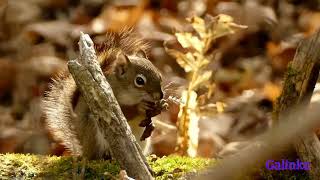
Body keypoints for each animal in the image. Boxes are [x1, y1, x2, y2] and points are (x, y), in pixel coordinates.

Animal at [41, 29, 164, 160]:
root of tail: (85, 149)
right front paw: (140, 107)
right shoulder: (109, 103)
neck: (130, 93)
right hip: (95, 131)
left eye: (159, 76)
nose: (160, 96)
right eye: (139, 81)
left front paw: (160, 107)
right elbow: (125, 113)